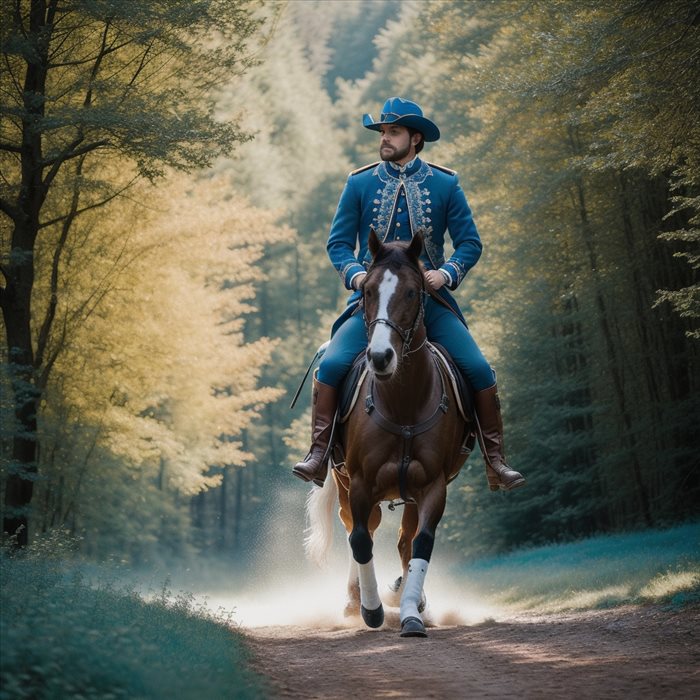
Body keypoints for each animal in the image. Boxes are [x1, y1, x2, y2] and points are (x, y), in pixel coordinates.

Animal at [304, 231, 474, 640]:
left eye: (413, 292)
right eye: (366, 290)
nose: (380, 356)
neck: (403, 401)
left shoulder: (432, 486)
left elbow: (421, 543)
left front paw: (411, 611)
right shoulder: (361, 482)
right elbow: (361, 540)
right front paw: (370, 608)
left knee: (404, 540)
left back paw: (409, 595)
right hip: (345, 483)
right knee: (357, 529)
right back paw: (355, 600)